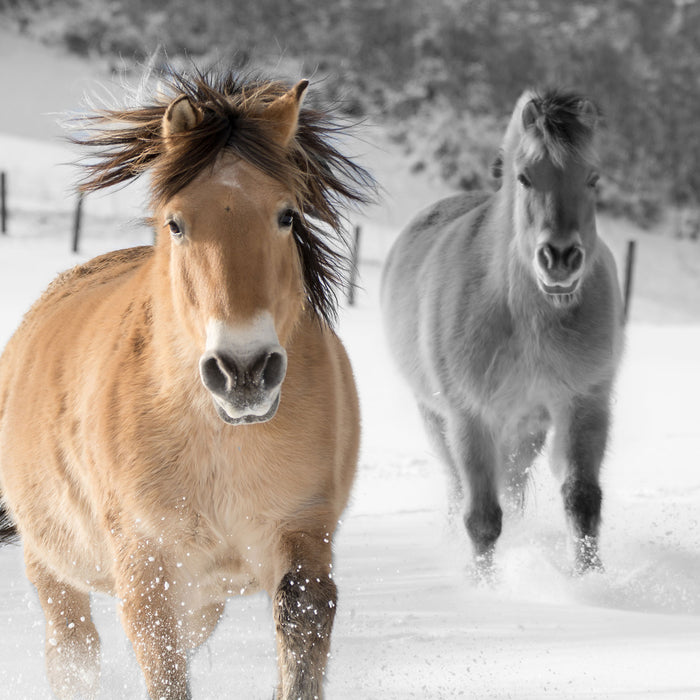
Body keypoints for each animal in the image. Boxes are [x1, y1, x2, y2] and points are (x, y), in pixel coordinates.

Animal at [1, 67, 372, 700]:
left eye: (287, 216)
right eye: (176, 223)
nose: (244, 371)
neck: (219, 440)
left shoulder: (302, 535)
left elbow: (300, 638)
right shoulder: (147, 572)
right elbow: (165, 672)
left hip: (204, 598)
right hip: (52, 564)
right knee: (74, 652)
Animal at [380, 89, 628, 576]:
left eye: (592, 178)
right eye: (525, 177)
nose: (560, 259)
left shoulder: (583, 404)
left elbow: (582, 499)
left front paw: (591, 580)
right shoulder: (470, 417)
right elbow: (481, 518)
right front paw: (484, 585)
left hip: (525, 428)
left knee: (512, 490)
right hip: (437, 418)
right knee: (460, 488)